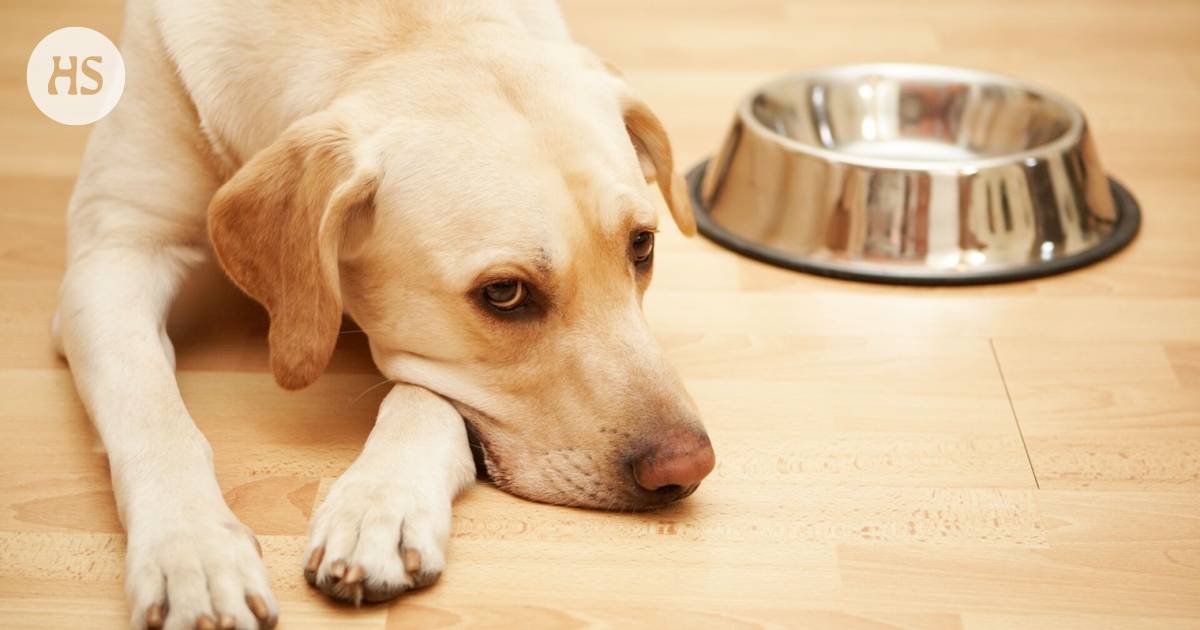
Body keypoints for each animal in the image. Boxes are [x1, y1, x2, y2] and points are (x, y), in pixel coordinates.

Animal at [54, 1, 710, 628]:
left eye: (642, 246)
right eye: (504, 292)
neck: (397, 29)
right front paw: (192, 551)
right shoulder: (112, 254)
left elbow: (423, 397)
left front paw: (379, 506)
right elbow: (154, 414)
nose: (689, 466)